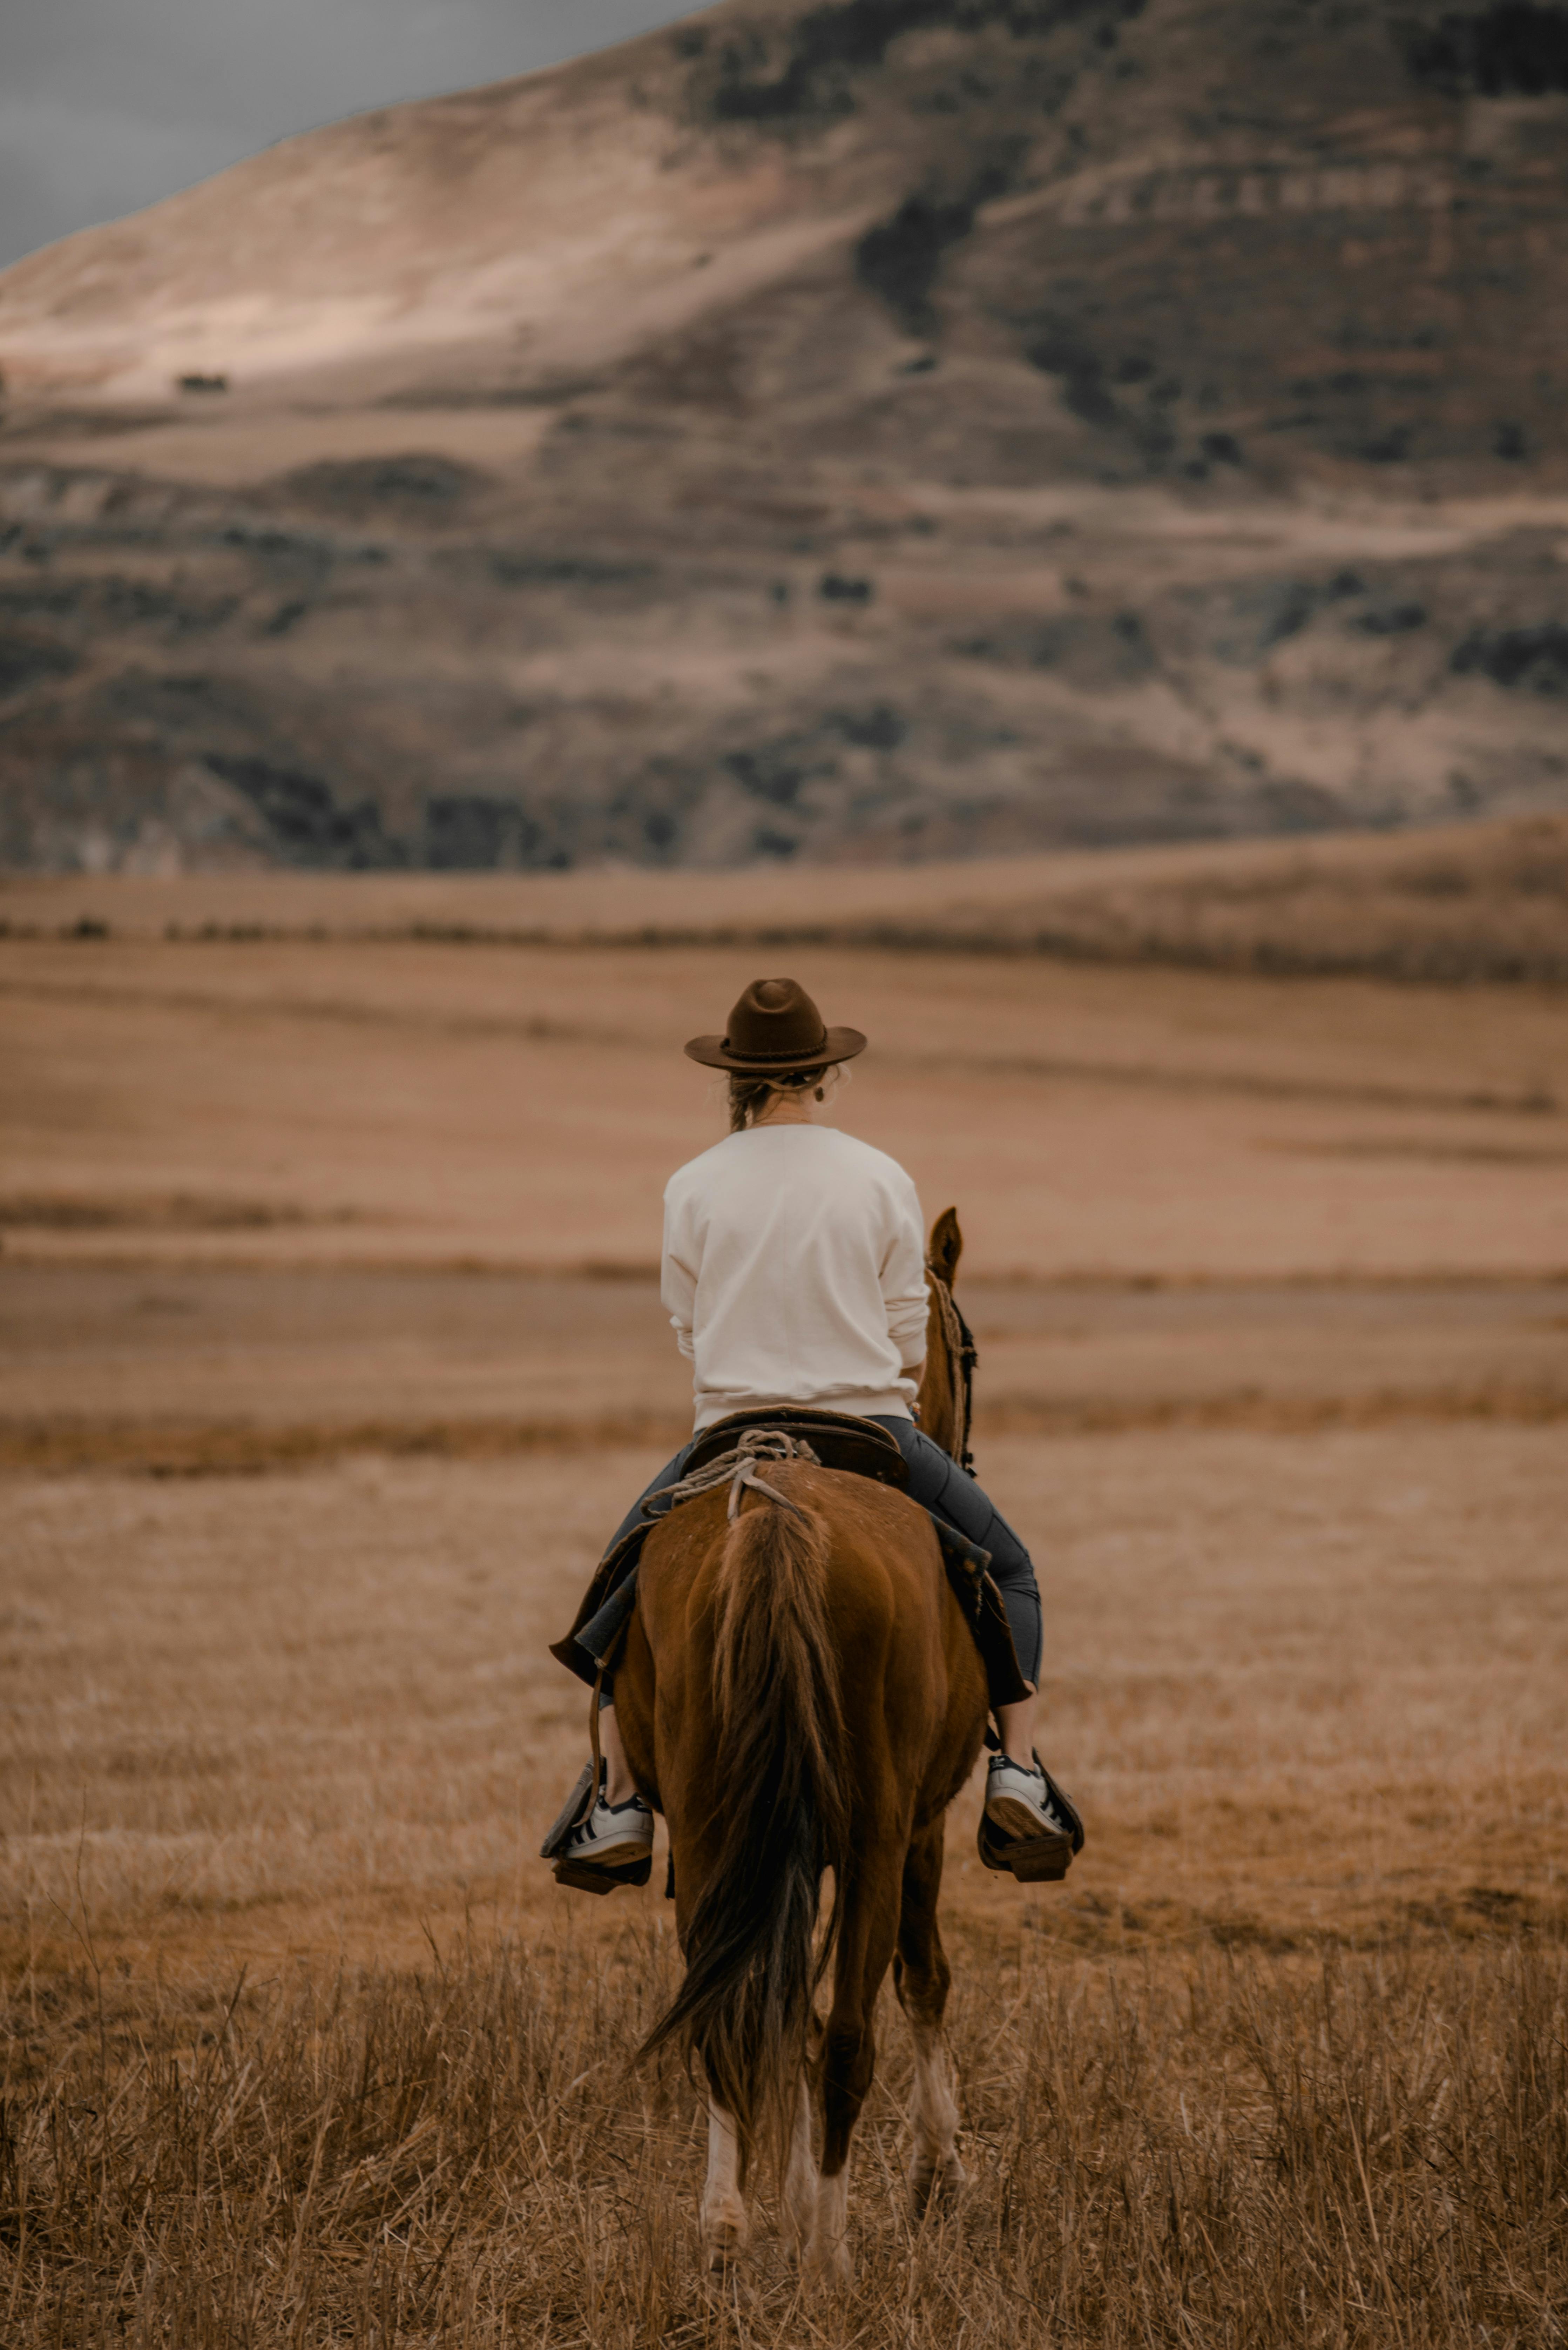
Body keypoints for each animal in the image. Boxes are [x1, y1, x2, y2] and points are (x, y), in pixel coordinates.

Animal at [611, 1212, 987, 2275]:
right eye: (969, 1348)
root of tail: (775, 1509)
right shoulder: (918, 1831)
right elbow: (921, 1980)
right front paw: (937, 2176)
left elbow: (784, 2010)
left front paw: (769, 2197)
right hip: (870, 1842)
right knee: (854, 2032)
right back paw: (827, 2251)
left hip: (709, 1833)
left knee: (729, 2012)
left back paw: (726, 2225)